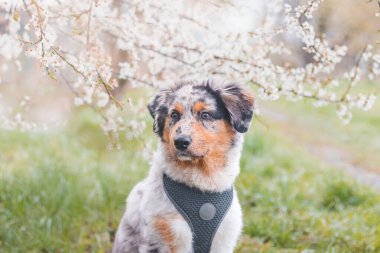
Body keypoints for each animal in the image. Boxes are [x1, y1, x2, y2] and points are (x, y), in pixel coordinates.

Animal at [113, 79, 255, 253]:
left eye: (205, 115)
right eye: (174, 115)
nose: (180, 142)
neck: (202, 184)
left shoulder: (224, 239)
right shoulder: (165, 234)